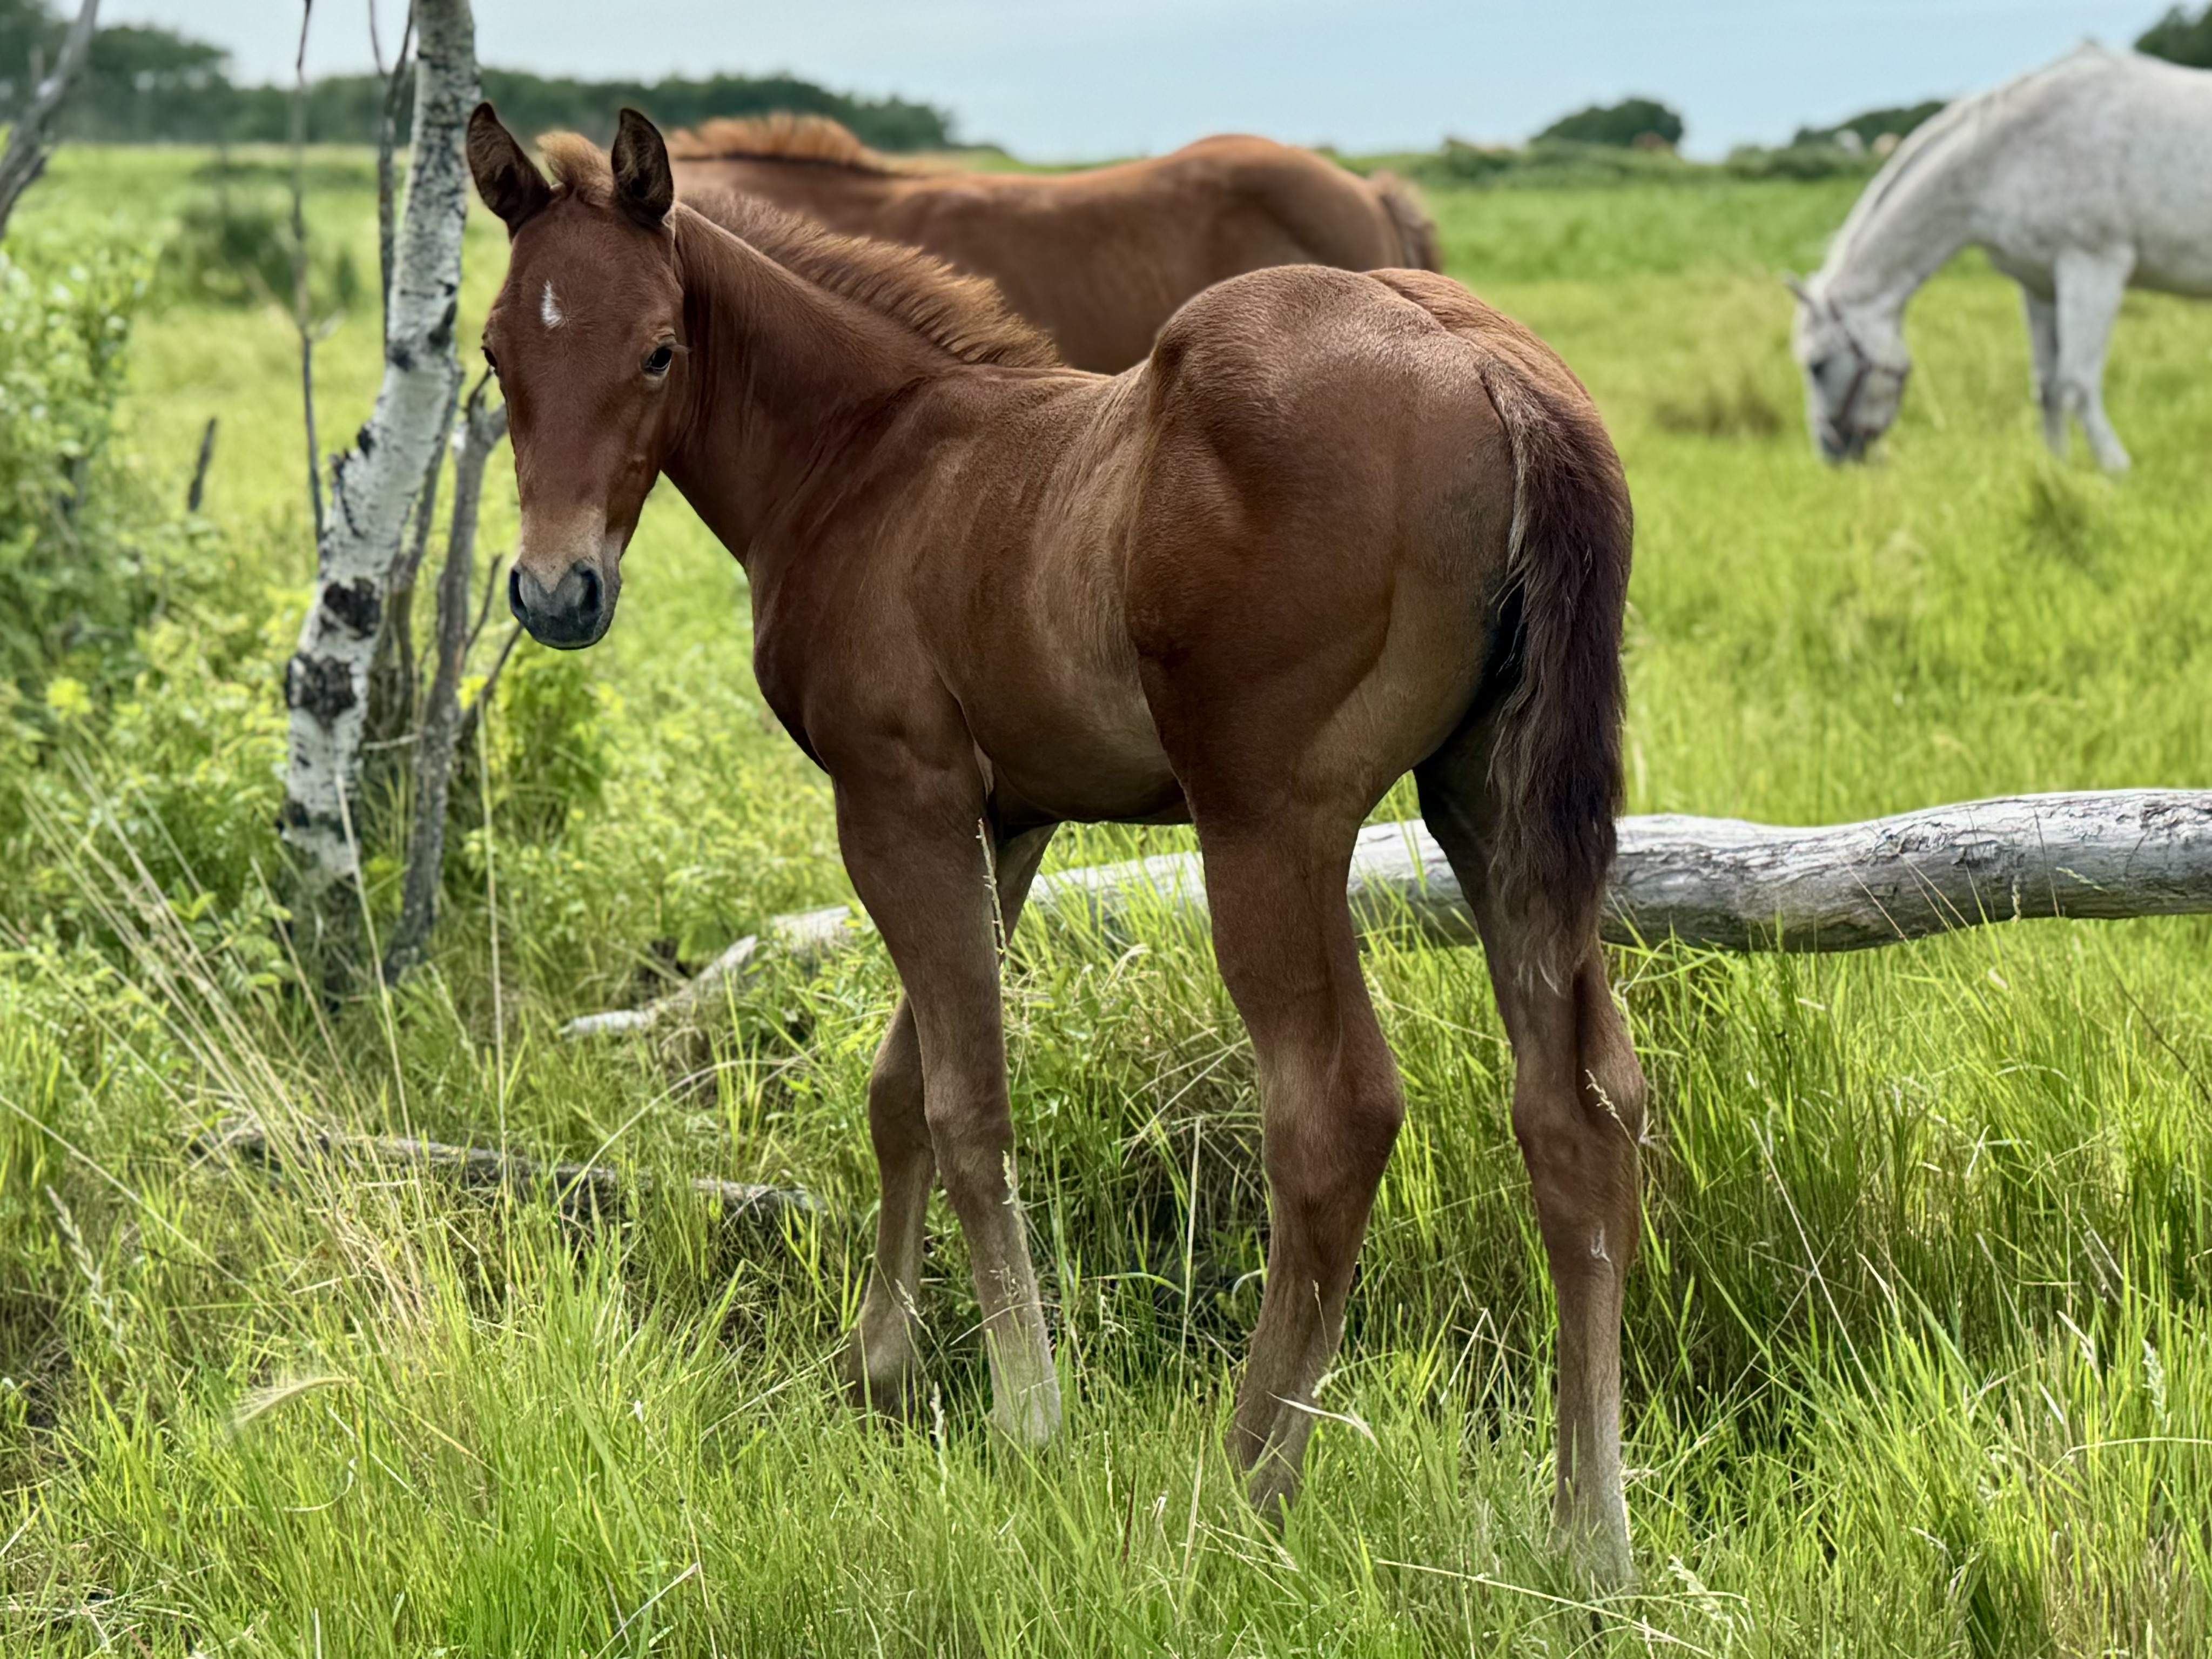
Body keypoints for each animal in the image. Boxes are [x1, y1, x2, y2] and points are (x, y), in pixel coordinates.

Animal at [1791, 43, 2212, 471]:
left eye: (1817, 365)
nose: (1832, 453)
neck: (2010, 154)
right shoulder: (2040, 286)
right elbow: (2047, 386)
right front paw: (2057, 470)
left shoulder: (2093, 268)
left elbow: (2078, 381)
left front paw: (2116, 469)